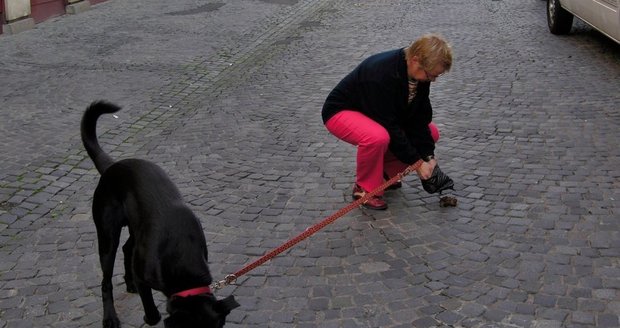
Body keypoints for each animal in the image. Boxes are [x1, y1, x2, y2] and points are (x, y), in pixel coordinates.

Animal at [80, 101, 240, 326]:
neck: (181, 253)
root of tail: (112, 166)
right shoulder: (143, 275)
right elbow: (151, 309)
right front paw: (150, 318)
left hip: (136, 230)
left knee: (127, 249)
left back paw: (128, 283)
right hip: (107, 235)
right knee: (106, 281)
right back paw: (110, 317)